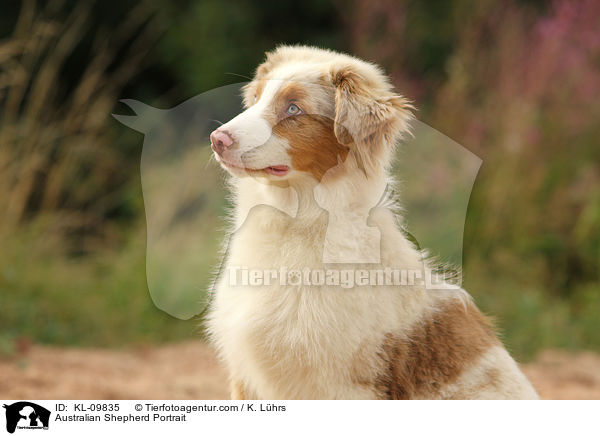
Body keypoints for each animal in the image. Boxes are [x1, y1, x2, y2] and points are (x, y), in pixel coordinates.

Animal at [207, 45, 540, 398]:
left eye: (294, 108)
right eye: (256, 99)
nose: (217, 139)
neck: (295, 222)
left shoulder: (342, 385)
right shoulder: (246, 378)